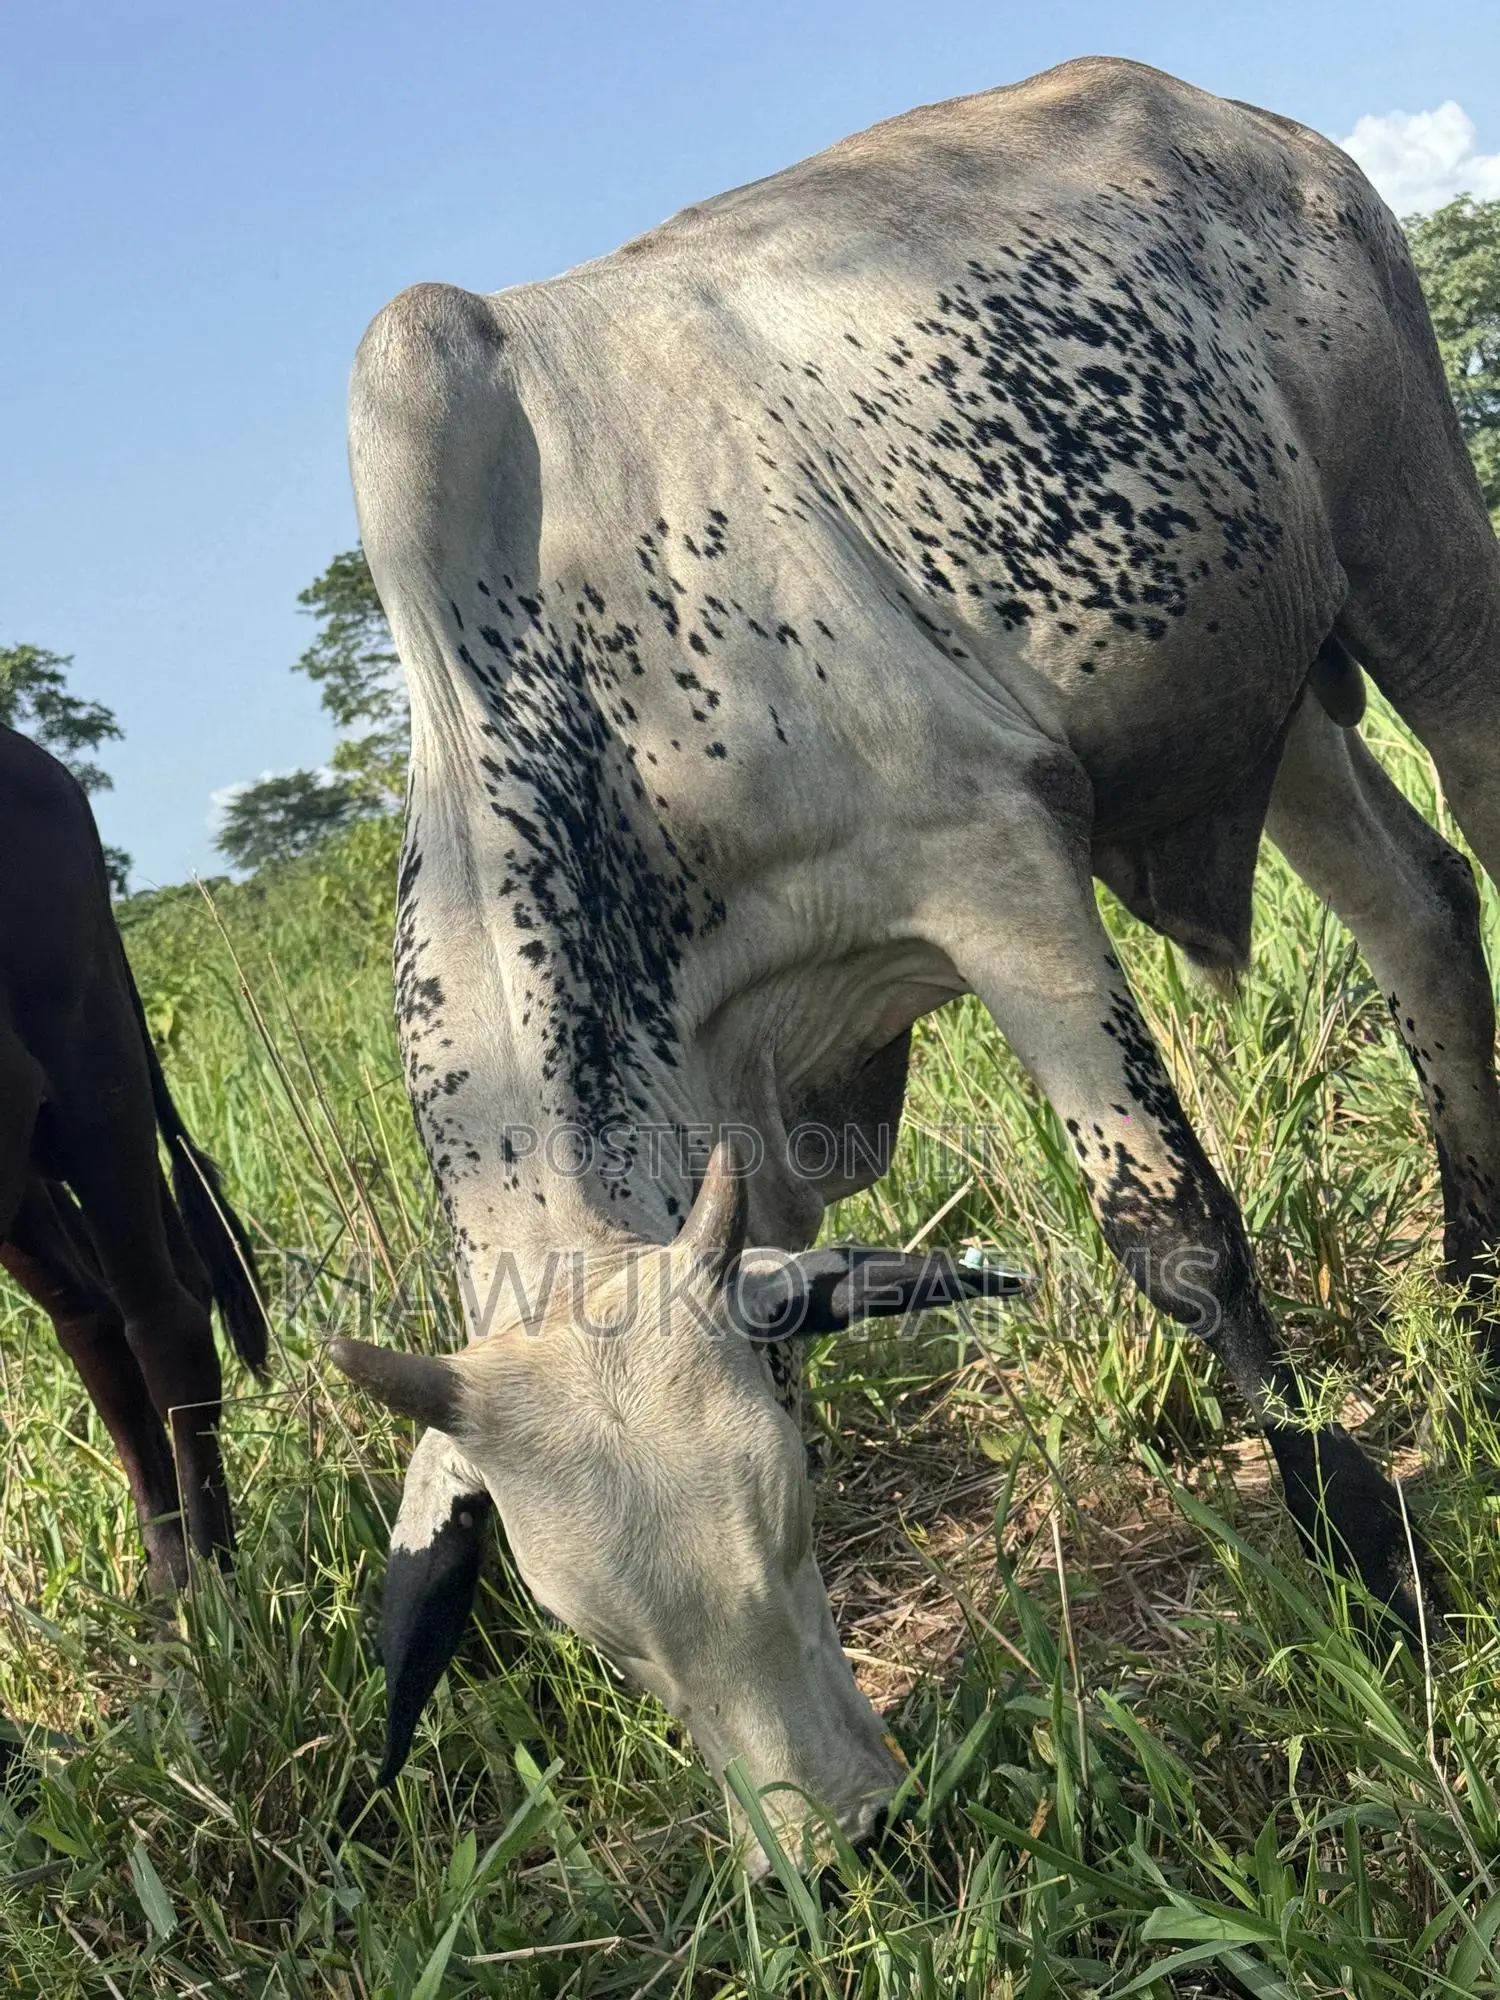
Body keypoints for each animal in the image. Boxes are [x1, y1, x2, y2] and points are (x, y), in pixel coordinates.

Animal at [329, 55, 1500, 1866]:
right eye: (609, 1646)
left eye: (794, 1522)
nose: (849, 1846)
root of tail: (1245, 120)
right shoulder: (751, 1147)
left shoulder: (992, 859)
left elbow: (1175, 1234)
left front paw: (1367, 1555)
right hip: (1260, 700)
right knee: (1424, 917)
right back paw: (1477, 1281)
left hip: (1414, 550)